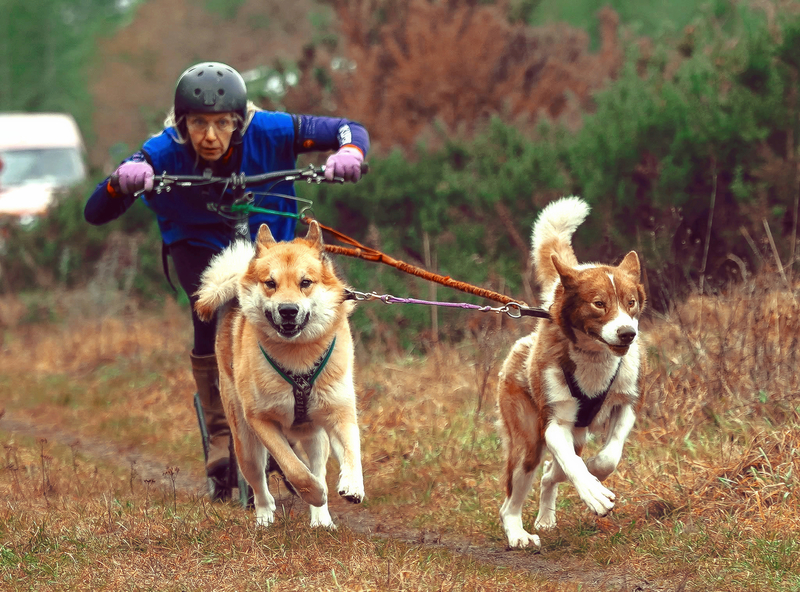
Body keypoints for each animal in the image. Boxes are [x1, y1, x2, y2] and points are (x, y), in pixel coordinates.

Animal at [194, 221, 364, 528]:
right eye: (270, 283)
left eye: (305, 282)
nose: (288, 310)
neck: (298, 357)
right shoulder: (262, 421)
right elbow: (294, 469)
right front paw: (313, 492)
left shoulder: (340, 412)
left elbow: (351, 451)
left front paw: (353, 486)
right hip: (245, 442)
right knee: (259, 483)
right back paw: (264, 516)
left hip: (316, 437)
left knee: (317, 467)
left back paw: (322, 520)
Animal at [496, 196, 646, 548]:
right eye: (599, 304)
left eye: (631, 302)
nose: (626, 333)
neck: (594, 358)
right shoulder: (554, 423)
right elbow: (573, 466)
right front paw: (594, 493)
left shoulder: (626, 404)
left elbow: (608, 457)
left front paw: (596, 471)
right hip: (528, 441)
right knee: (514, 498)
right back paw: (518, 533)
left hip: (577, 435)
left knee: (551, 473)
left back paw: (545, 517)